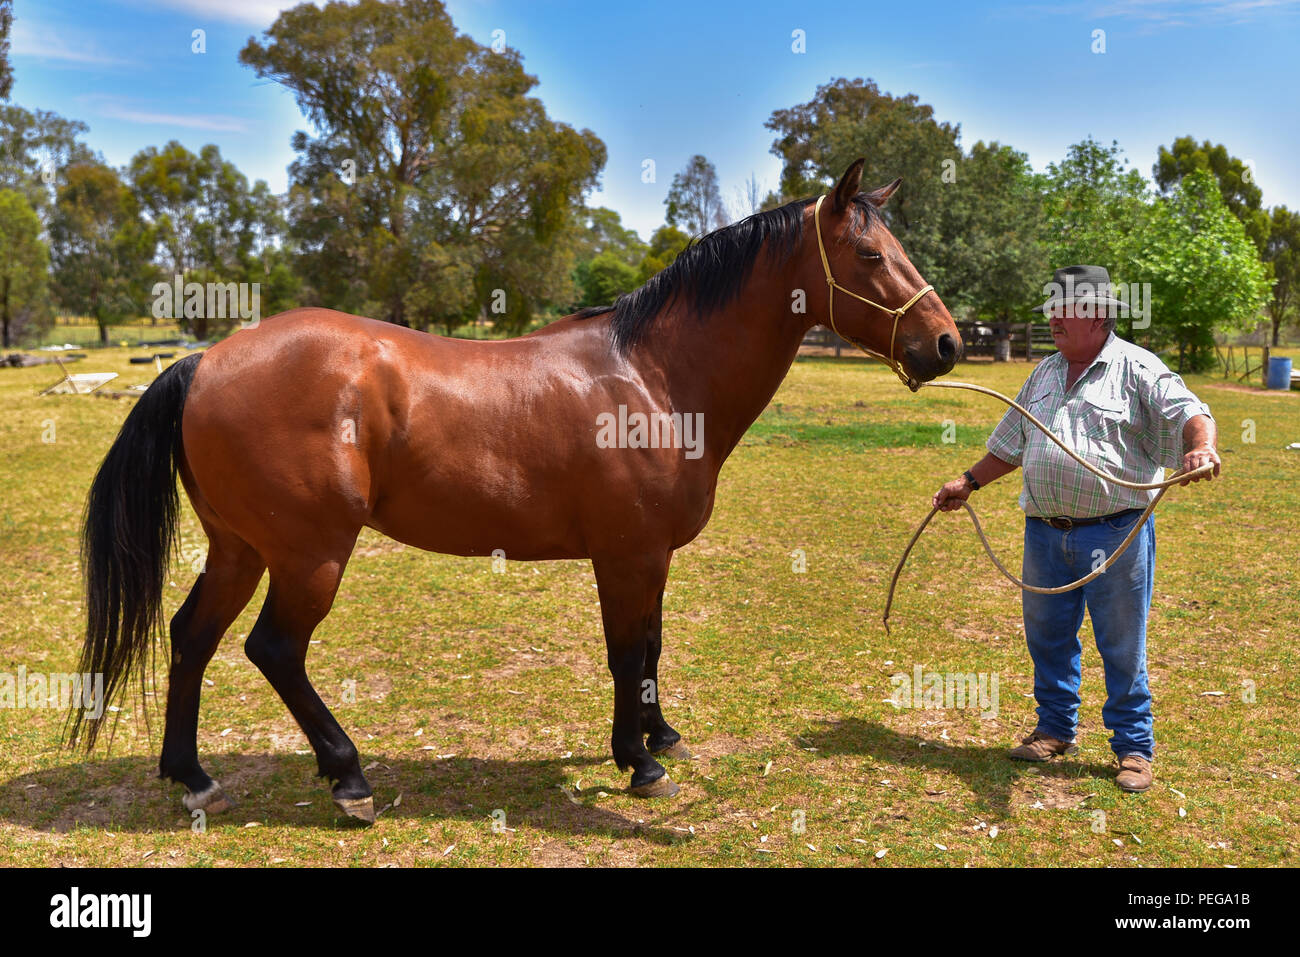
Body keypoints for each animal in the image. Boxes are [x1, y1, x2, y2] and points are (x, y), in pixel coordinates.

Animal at [68, 159, 961, 823]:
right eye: (871, 257)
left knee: (191, 636)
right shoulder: (625, 555)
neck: (653, 377)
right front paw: (637, 762)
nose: (947, 342)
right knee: (274, 649)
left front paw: (660, 733)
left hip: (241, 547)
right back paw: (348, 778)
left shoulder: (652, 557)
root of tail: (204, 361)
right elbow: (626, 652)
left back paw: (192, 775)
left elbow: (652, 648)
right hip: (309, 553)